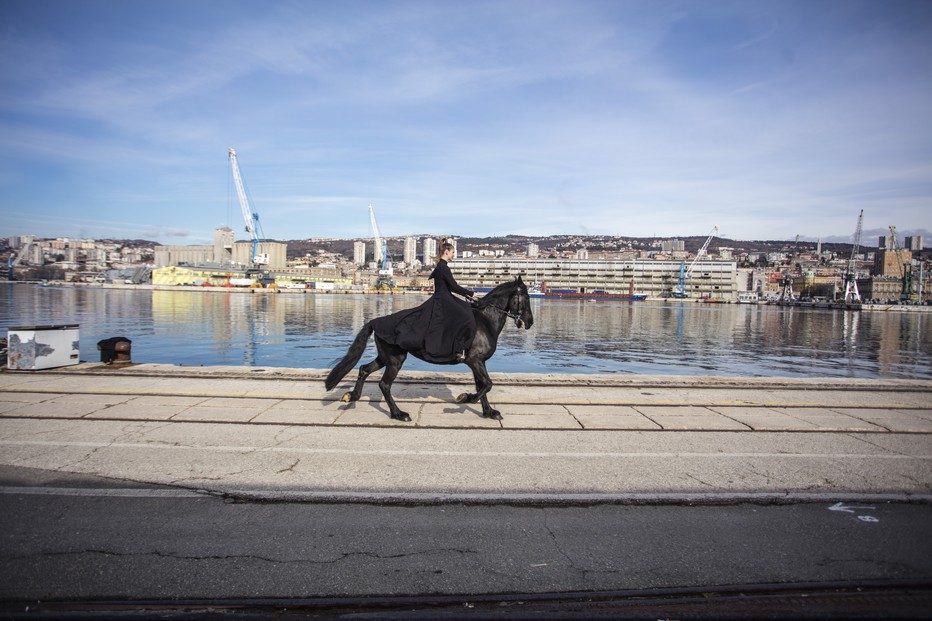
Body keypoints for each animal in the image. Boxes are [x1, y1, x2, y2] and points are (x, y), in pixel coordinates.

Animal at [326, 278, 532, 418]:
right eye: (525, 298)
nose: (529, 322)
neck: (485, 322)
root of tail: (376, 321)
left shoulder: (479, 362)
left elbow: (483, 385)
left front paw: (488, 411)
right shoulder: (474, 361)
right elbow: (487, 384)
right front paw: (466, 398)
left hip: (386, 358)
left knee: (364, 369)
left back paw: (353, 396)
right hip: (395, 360)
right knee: (384, 384)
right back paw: (398, 414)